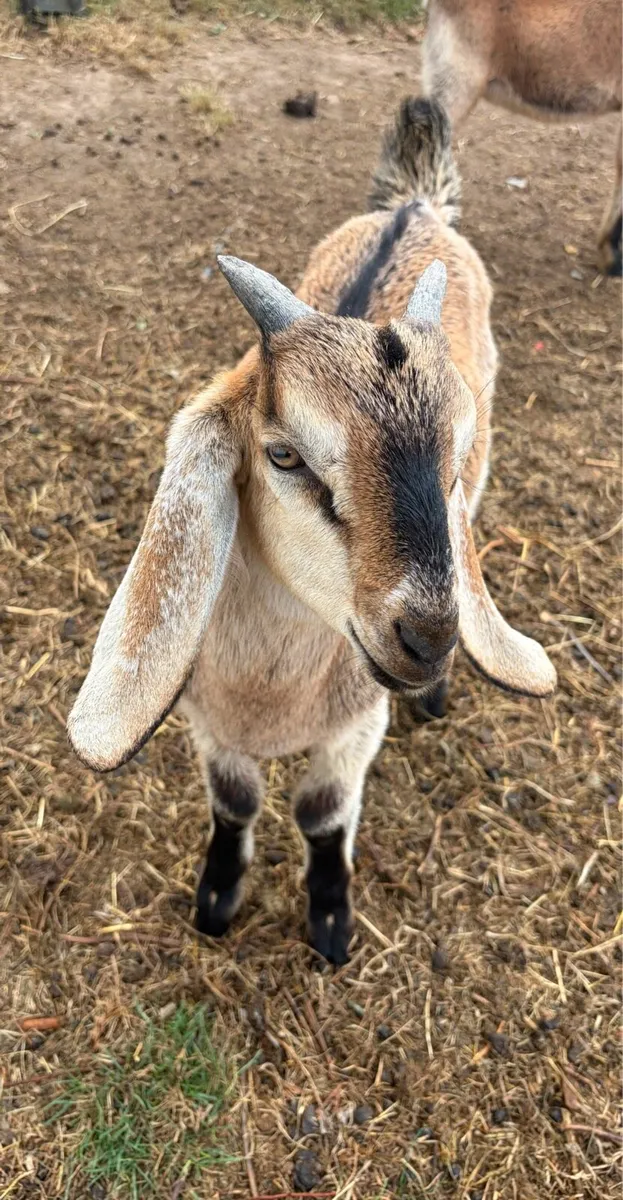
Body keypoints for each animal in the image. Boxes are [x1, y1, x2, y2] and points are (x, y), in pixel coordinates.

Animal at [68, 99, 556, 965]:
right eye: (284, 455)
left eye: (454, 456)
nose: (429, 637)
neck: (274, 698)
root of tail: (415, 206)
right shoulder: (209, 724)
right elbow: (235, 803)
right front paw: (218, 896)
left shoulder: (358, 723)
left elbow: (321, 816)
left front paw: (330, 920)